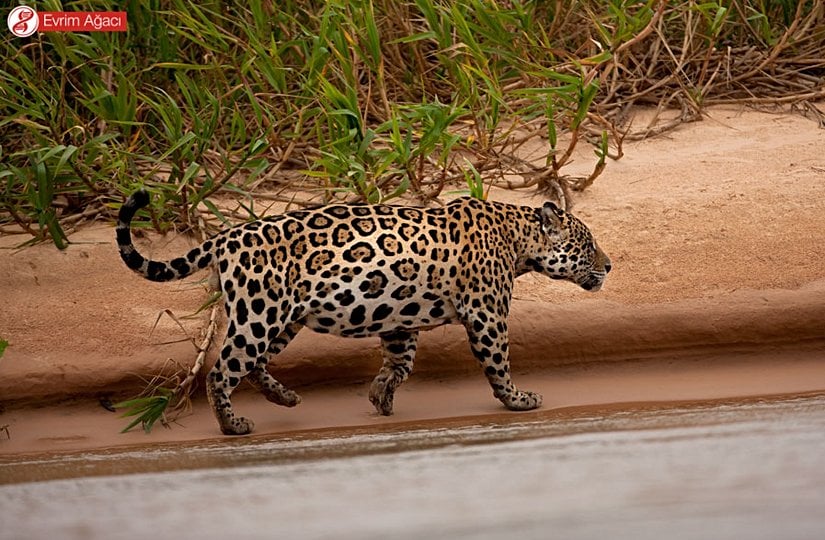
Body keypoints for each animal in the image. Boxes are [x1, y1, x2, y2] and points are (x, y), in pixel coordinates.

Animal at [116, 189, 611, 435]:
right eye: (587, 245)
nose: (609, 265)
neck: (518, 237)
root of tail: (224, 238)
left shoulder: (400, 320)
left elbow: (401, 363)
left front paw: (381, 398)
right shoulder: (486, 313)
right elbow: (498, 361)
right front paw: (517, 400)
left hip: (281, 317)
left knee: (252, 363)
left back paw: (285, 398)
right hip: (260, 313)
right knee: (223, 369)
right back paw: (232, 425)